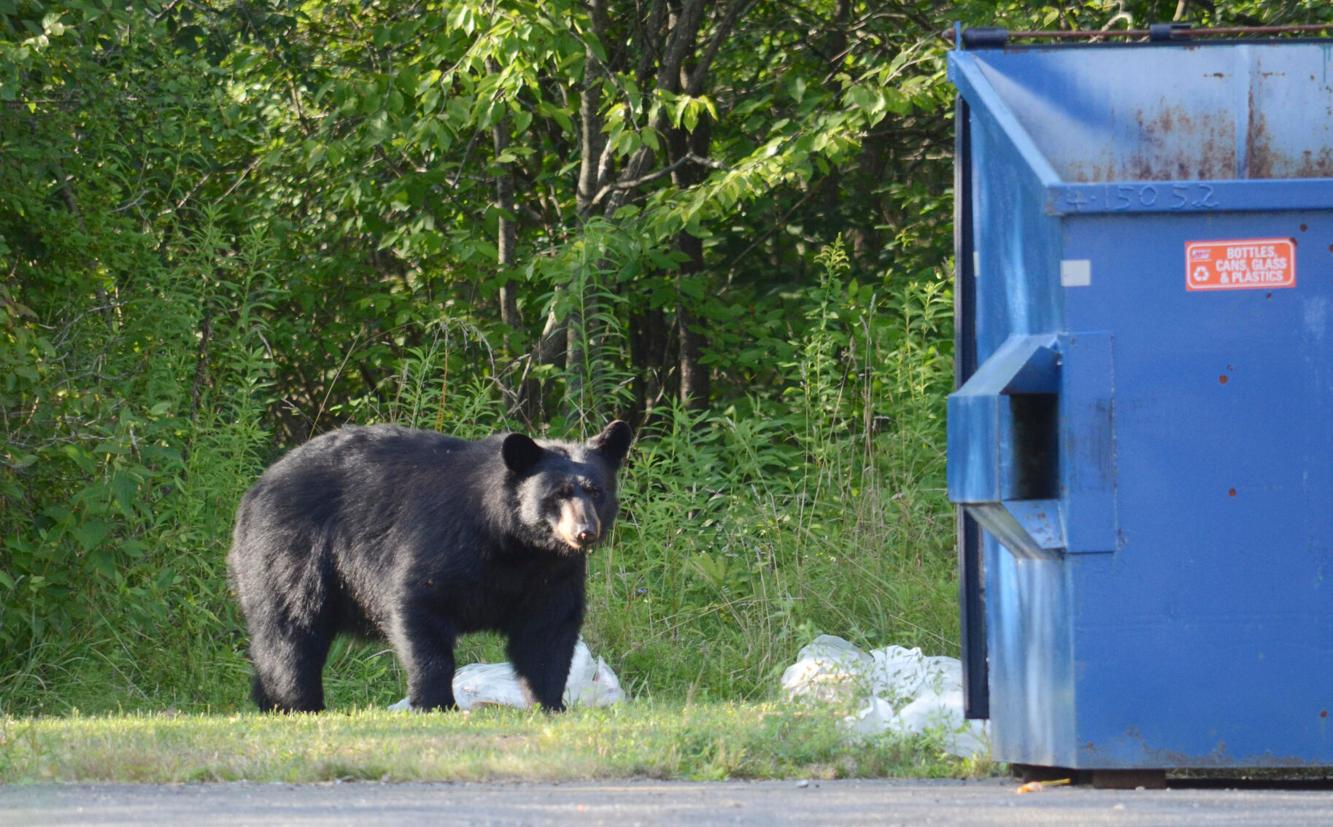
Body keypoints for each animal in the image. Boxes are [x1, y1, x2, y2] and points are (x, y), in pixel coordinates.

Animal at [226, 419, 632, 713]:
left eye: (596, 490)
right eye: (558, 494)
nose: (584, 532)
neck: (514, 543)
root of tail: (256, 488)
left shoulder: (551, 573)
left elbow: (548, 629)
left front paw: (549, 703)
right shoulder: (441, 539)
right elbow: (420, 608)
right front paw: (436, 702)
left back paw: (269, 702)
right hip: (292, 552)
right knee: (292, 628)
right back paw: (299, 703)